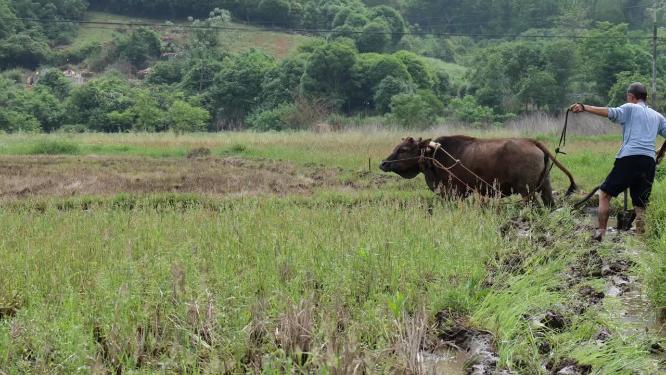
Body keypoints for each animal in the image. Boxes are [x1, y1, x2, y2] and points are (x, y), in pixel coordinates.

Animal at [378, 136, 576, 207]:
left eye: (403, 149)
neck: (434, 155)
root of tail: (531, 141)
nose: (383, 163)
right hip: (545, 187)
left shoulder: (452, 193)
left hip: (527, 191)